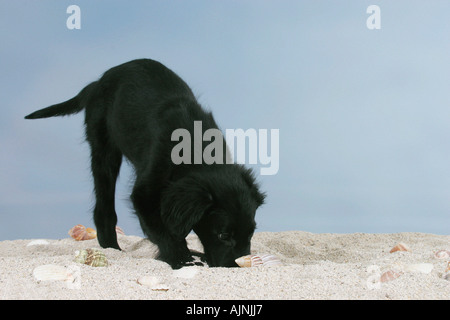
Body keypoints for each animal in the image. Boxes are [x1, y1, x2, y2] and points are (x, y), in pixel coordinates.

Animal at [24, 58, 266, 268]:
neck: (196, 146)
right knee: (104, 206)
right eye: (223, 235)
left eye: (251, 232)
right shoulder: (144, 194)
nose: (237, 266)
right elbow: (164, 231)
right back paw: (111, 247)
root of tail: (97, 83)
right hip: (104, 150)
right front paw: (182, 259)